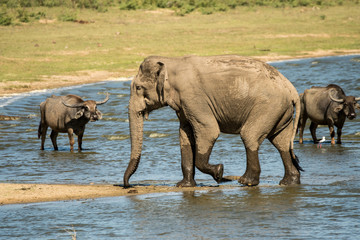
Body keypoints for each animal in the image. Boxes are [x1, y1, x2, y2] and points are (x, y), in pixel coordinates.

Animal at [124, 55, 304, 188]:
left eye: (138, 88)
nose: (127, 185)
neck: (171, 61)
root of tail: (291, 89)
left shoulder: (193, 98)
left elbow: (209, 130)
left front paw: (219, 172)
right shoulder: (184, 105)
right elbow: (185, 135)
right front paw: (184, 186)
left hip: (268, 106)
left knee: (250, 136)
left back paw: (246, 182)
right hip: (279, 110)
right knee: (281, 142)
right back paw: (289, 182)